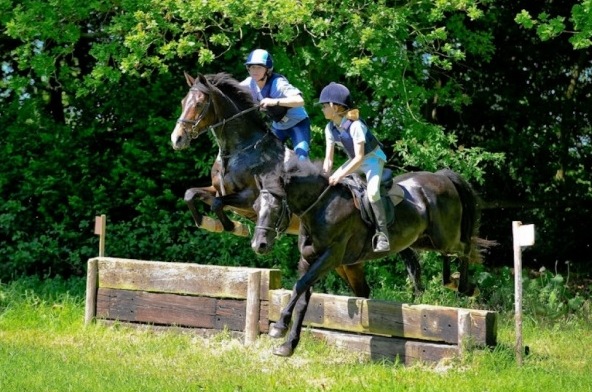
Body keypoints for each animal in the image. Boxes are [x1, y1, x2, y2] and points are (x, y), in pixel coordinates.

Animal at [251, 158, 494, 356]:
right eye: (255, 206)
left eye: (275, 208)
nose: (258, 245)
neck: (321, 207)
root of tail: (442, 176)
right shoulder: (308, 260)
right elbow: (301, 297)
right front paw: (288, 345)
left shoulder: (331, 257)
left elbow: (299, 286)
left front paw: (279, 327)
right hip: (424, 240)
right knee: (448, 254)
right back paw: (452, 281)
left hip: (444, 236)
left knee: (465, 248)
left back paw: (464, 286)